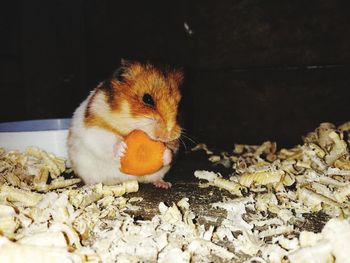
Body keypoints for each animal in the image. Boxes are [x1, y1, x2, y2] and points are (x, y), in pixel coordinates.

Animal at [68, 61, 183, 190]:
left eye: (179, 106)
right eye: (147, 99)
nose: (166, 136)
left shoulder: (175, 143)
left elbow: (171, 151)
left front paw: (165, 153)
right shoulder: (94, 128)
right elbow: (108, 139)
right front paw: (123, 149)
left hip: (157, 173)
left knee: (155, 178)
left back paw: (165, 185)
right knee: (91, 180)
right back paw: (89, 187)